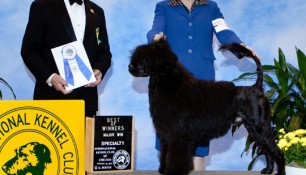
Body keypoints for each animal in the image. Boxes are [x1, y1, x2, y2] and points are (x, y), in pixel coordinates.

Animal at [128, 39, 286, 175]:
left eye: (147, 57)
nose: (130, 67)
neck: (171, 84)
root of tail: (257, 87)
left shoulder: (178, 135)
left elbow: (176, 157)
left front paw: (173, 172)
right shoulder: (166, 134)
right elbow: (164, 153)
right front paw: (163, 169)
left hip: (260, 127)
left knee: (277, 152)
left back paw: (280, 172)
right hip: (254, 130)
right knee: (267, 151)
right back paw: (267, 170)